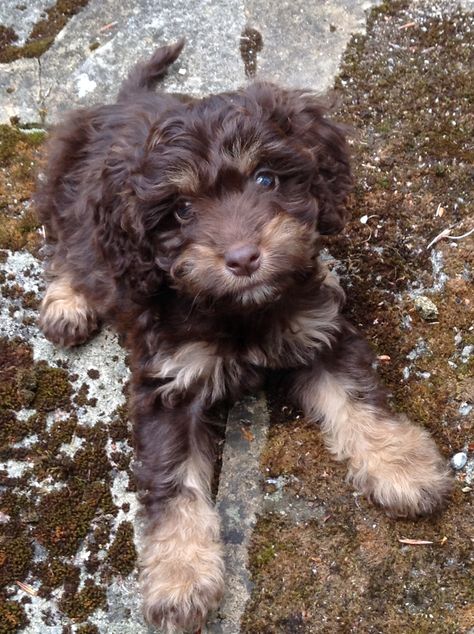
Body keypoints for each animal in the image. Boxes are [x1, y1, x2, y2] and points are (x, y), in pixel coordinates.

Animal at [35, 40, 450, 632]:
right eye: (181, 209)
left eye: (266, 179)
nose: (243, 258)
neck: (238, 310)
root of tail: (126, 98)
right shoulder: (168, 384)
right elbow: (174, 481)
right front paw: (181, 579)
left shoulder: (319, 330)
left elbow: (358, 400)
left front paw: (401, 465)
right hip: (70, 190)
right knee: (72, 245)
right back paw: (68, 301)